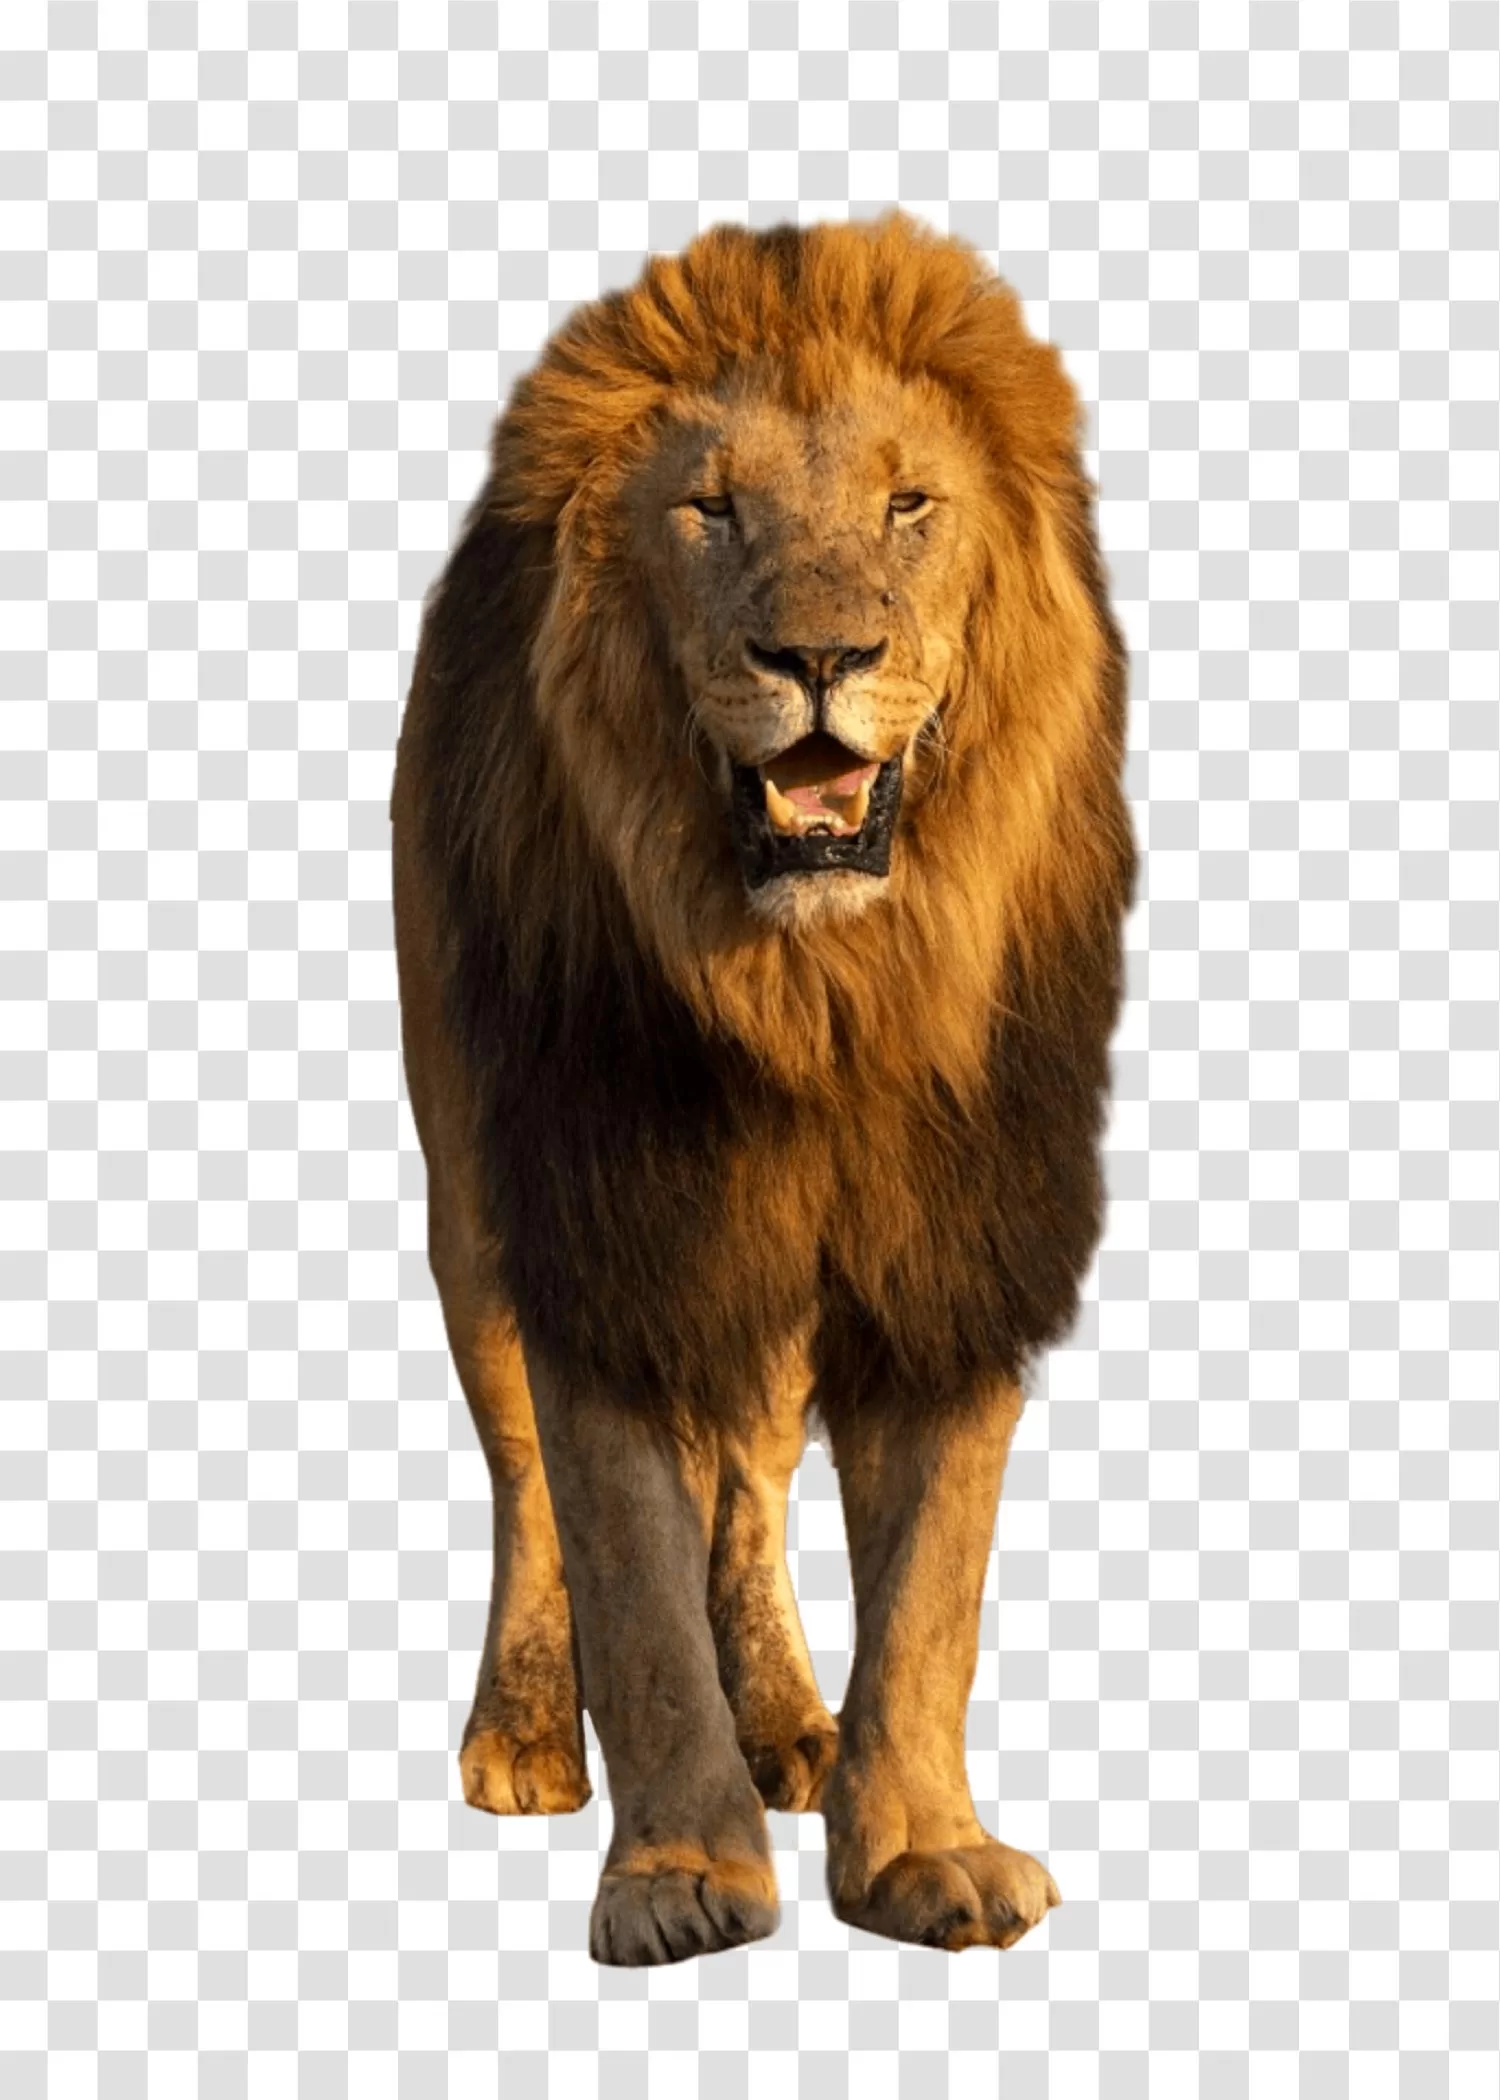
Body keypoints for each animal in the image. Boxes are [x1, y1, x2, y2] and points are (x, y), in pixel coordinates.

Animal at [390, 212, 1134, 1965]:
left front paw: (922, 1848)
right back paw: (527, 1734)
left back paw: (793, 1725)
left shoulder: (949, 1242)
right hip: (470, 1194)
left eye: (908, 504)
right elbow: (630, 1580)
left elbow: (930, 1597)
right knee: (524, 1480)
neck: (816, 1001)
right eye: (709, 508)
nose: (819, 656)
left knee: (749, 1474)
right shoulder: (608, 1218)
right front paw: (677, 1878)